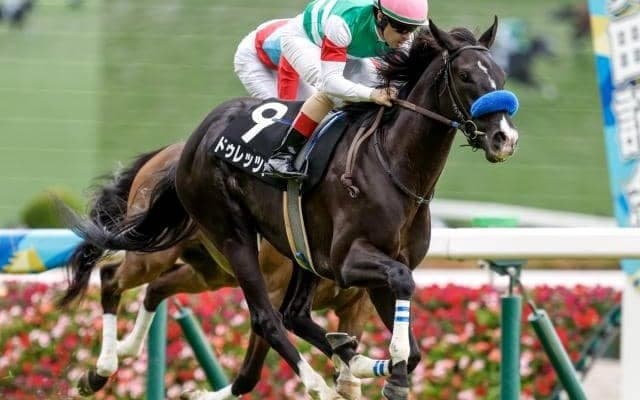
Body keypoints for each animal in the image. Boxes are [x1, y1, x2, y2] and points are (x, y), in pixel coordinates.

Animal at [58, 143, 372, 400]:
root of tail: (166, 152)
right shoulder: (272, 293)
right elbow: (250, 373)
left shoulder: (355, 308)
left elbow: (345, 355)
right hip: (152, 256)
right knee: (112, 278)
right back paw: (101, 370)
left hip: (209, 274)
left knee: (156, 289)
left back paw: (122, 351)